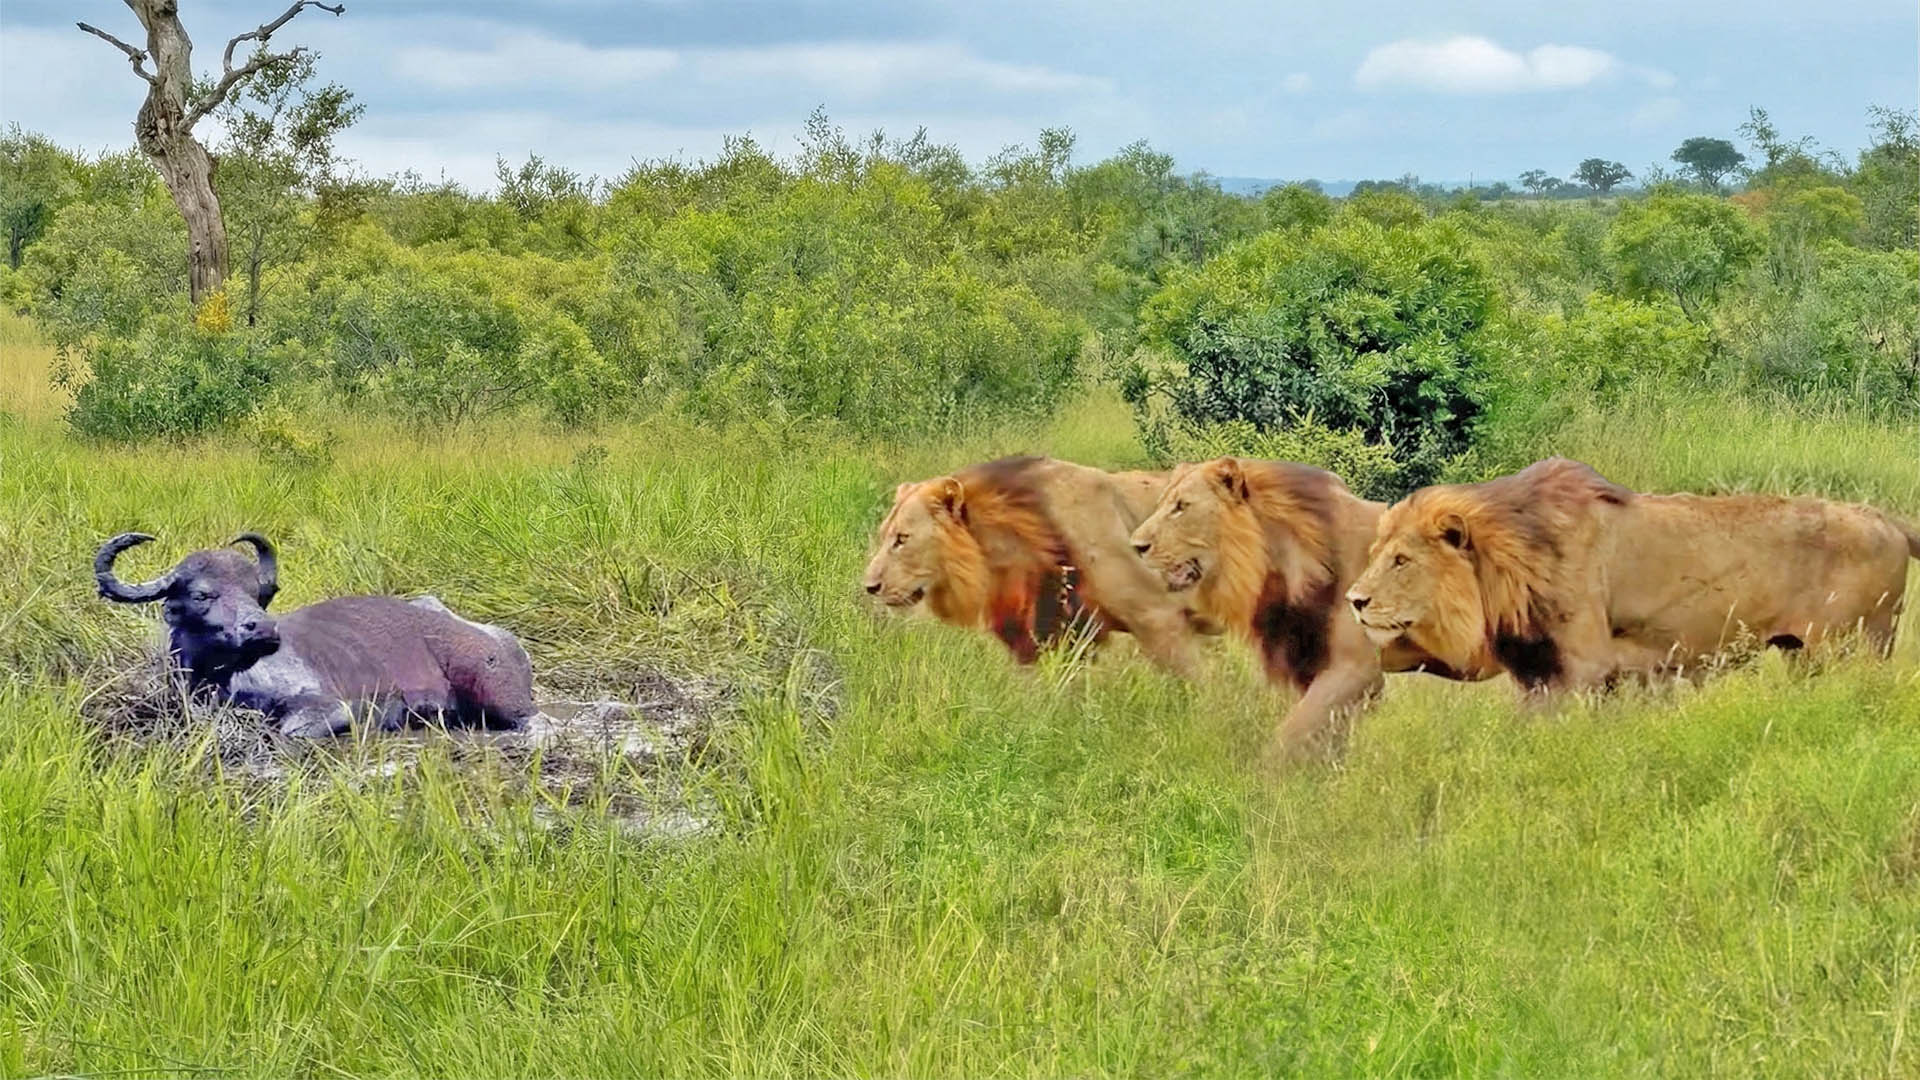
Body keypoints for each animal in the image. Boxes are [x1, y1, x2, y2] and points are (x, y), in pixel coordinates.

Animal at [94, 532, 537, 737]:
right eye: (202, 594)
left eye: (256, 592)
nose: (263, 629)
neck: (224, 681)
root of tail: (504, 640)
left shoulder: (329, 708)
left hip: (500, 696)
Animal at [1344, 457, 1920, 693]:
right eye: (1375, 552)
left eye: (1402, 560)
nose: (1354, 600)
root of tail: (1889, 519)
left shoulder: (1581, 668)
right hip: (1806, 658)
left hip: (1852, 649)